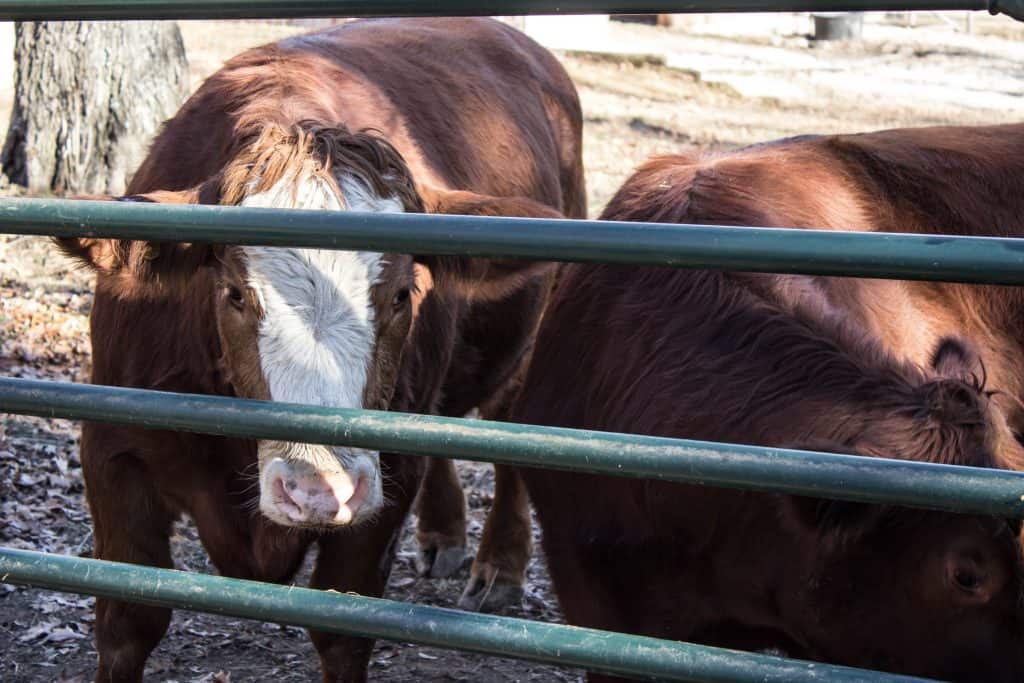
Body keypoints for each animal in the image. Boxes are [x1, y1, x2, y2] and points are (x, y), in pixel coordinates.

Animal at [56, 17, 585, 683]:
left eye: (402, 295)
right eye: (233, 293)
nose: (317, 490)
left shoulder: (386, 480)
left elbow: (343, 631)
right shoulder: (113, 449)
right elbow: (128, 624)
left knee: (508, 419)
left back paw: (501, 565)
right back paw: (442, 534)